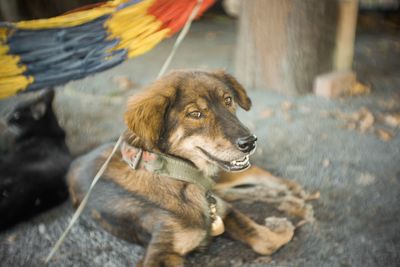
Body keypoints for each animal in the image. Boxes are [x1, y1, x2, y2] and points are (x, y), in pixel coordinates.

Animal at [67, 70, 296, 267]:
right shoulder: (160, 251)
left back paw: (290, 191)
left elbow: (265, 240)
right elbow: (269, 241)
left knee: (253, 174)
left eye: (228, 100)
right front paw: (281, 225)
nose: (249, 142)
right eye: (195, 114)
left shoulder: (224, 211)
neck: (174, 174)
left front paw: (278, 225)